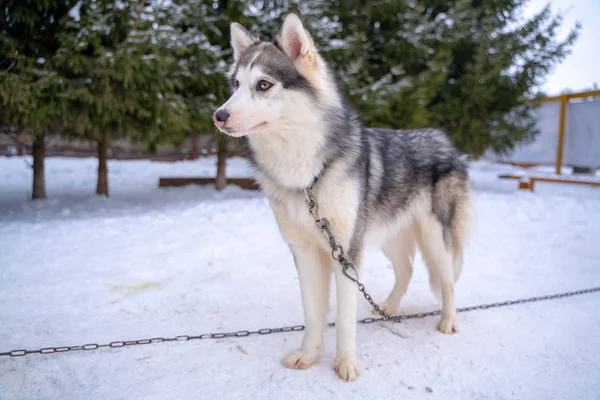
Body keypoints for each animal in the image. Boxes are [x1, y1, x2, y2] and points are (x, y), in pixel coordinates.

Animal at [213, 13, 472, 382]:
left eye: (263, 85)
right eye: (235, 85)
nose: (219, 115)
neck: (307, 175)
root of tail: (444, 141)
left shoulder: (347, 251)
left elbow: (345, 319)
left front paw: (346, 364)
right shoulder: (305, 252)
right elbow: (313, 313)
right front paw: (309, 356)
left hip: (435, 238)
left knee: (447, 280)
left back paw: (448, 321)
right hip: (387, 235)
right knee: (406, 270)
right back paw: (388, 307)